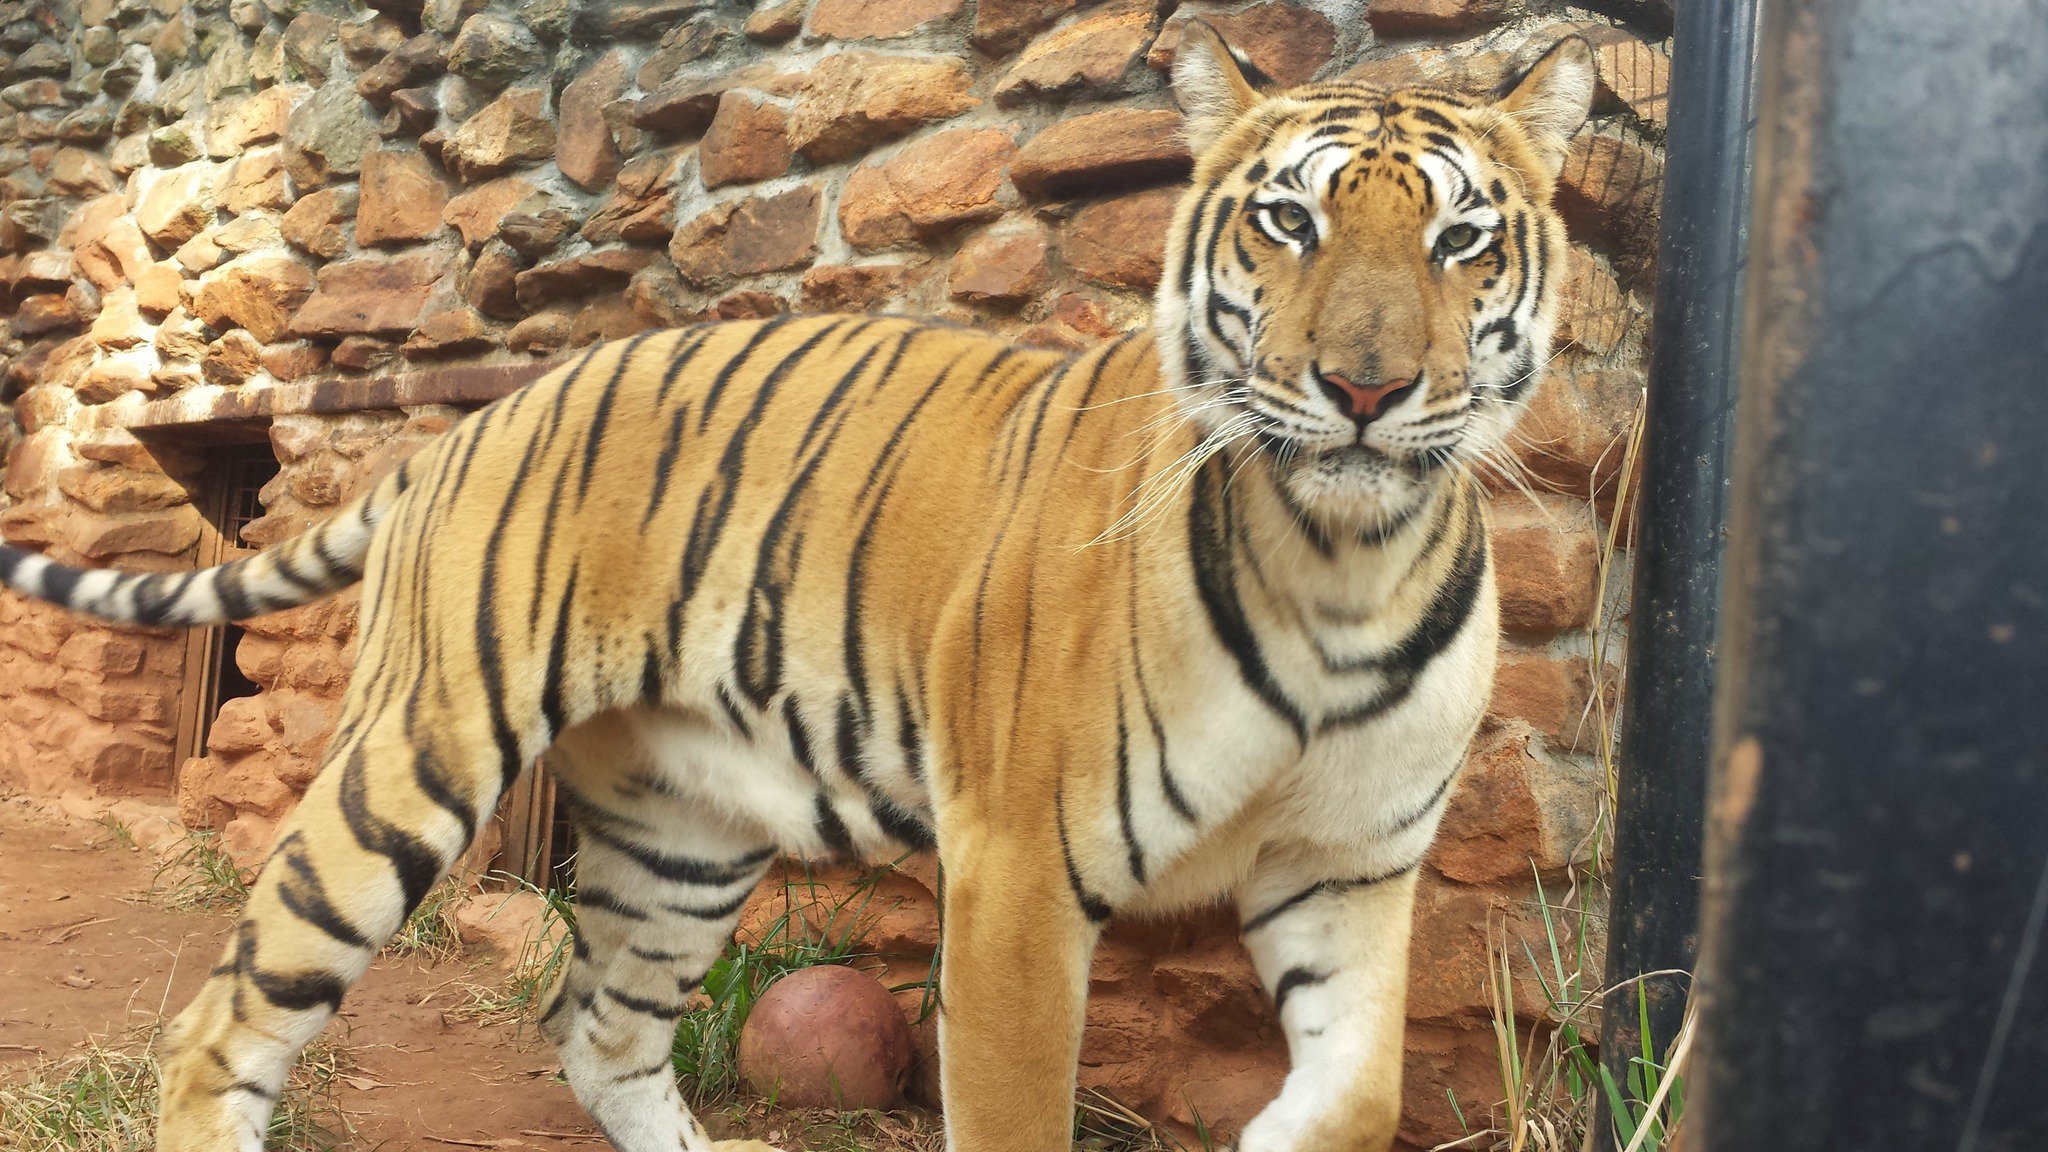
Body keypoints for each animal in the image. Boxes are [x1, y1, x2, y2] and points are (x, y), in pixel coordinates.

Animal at [0, 24, 1597, 1147]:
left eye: (1461, 238)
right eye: (1288, 223)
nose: (1366, 391)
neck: (1345, 570)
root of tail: (463, 426)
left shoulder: (1352, 867)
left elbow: (1358, 1095)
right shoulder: (1019, 872)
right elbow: (1013, 1112)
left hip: (687, 829)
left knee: (602, 1032)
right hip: (417, 756)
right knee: (223, 1024)